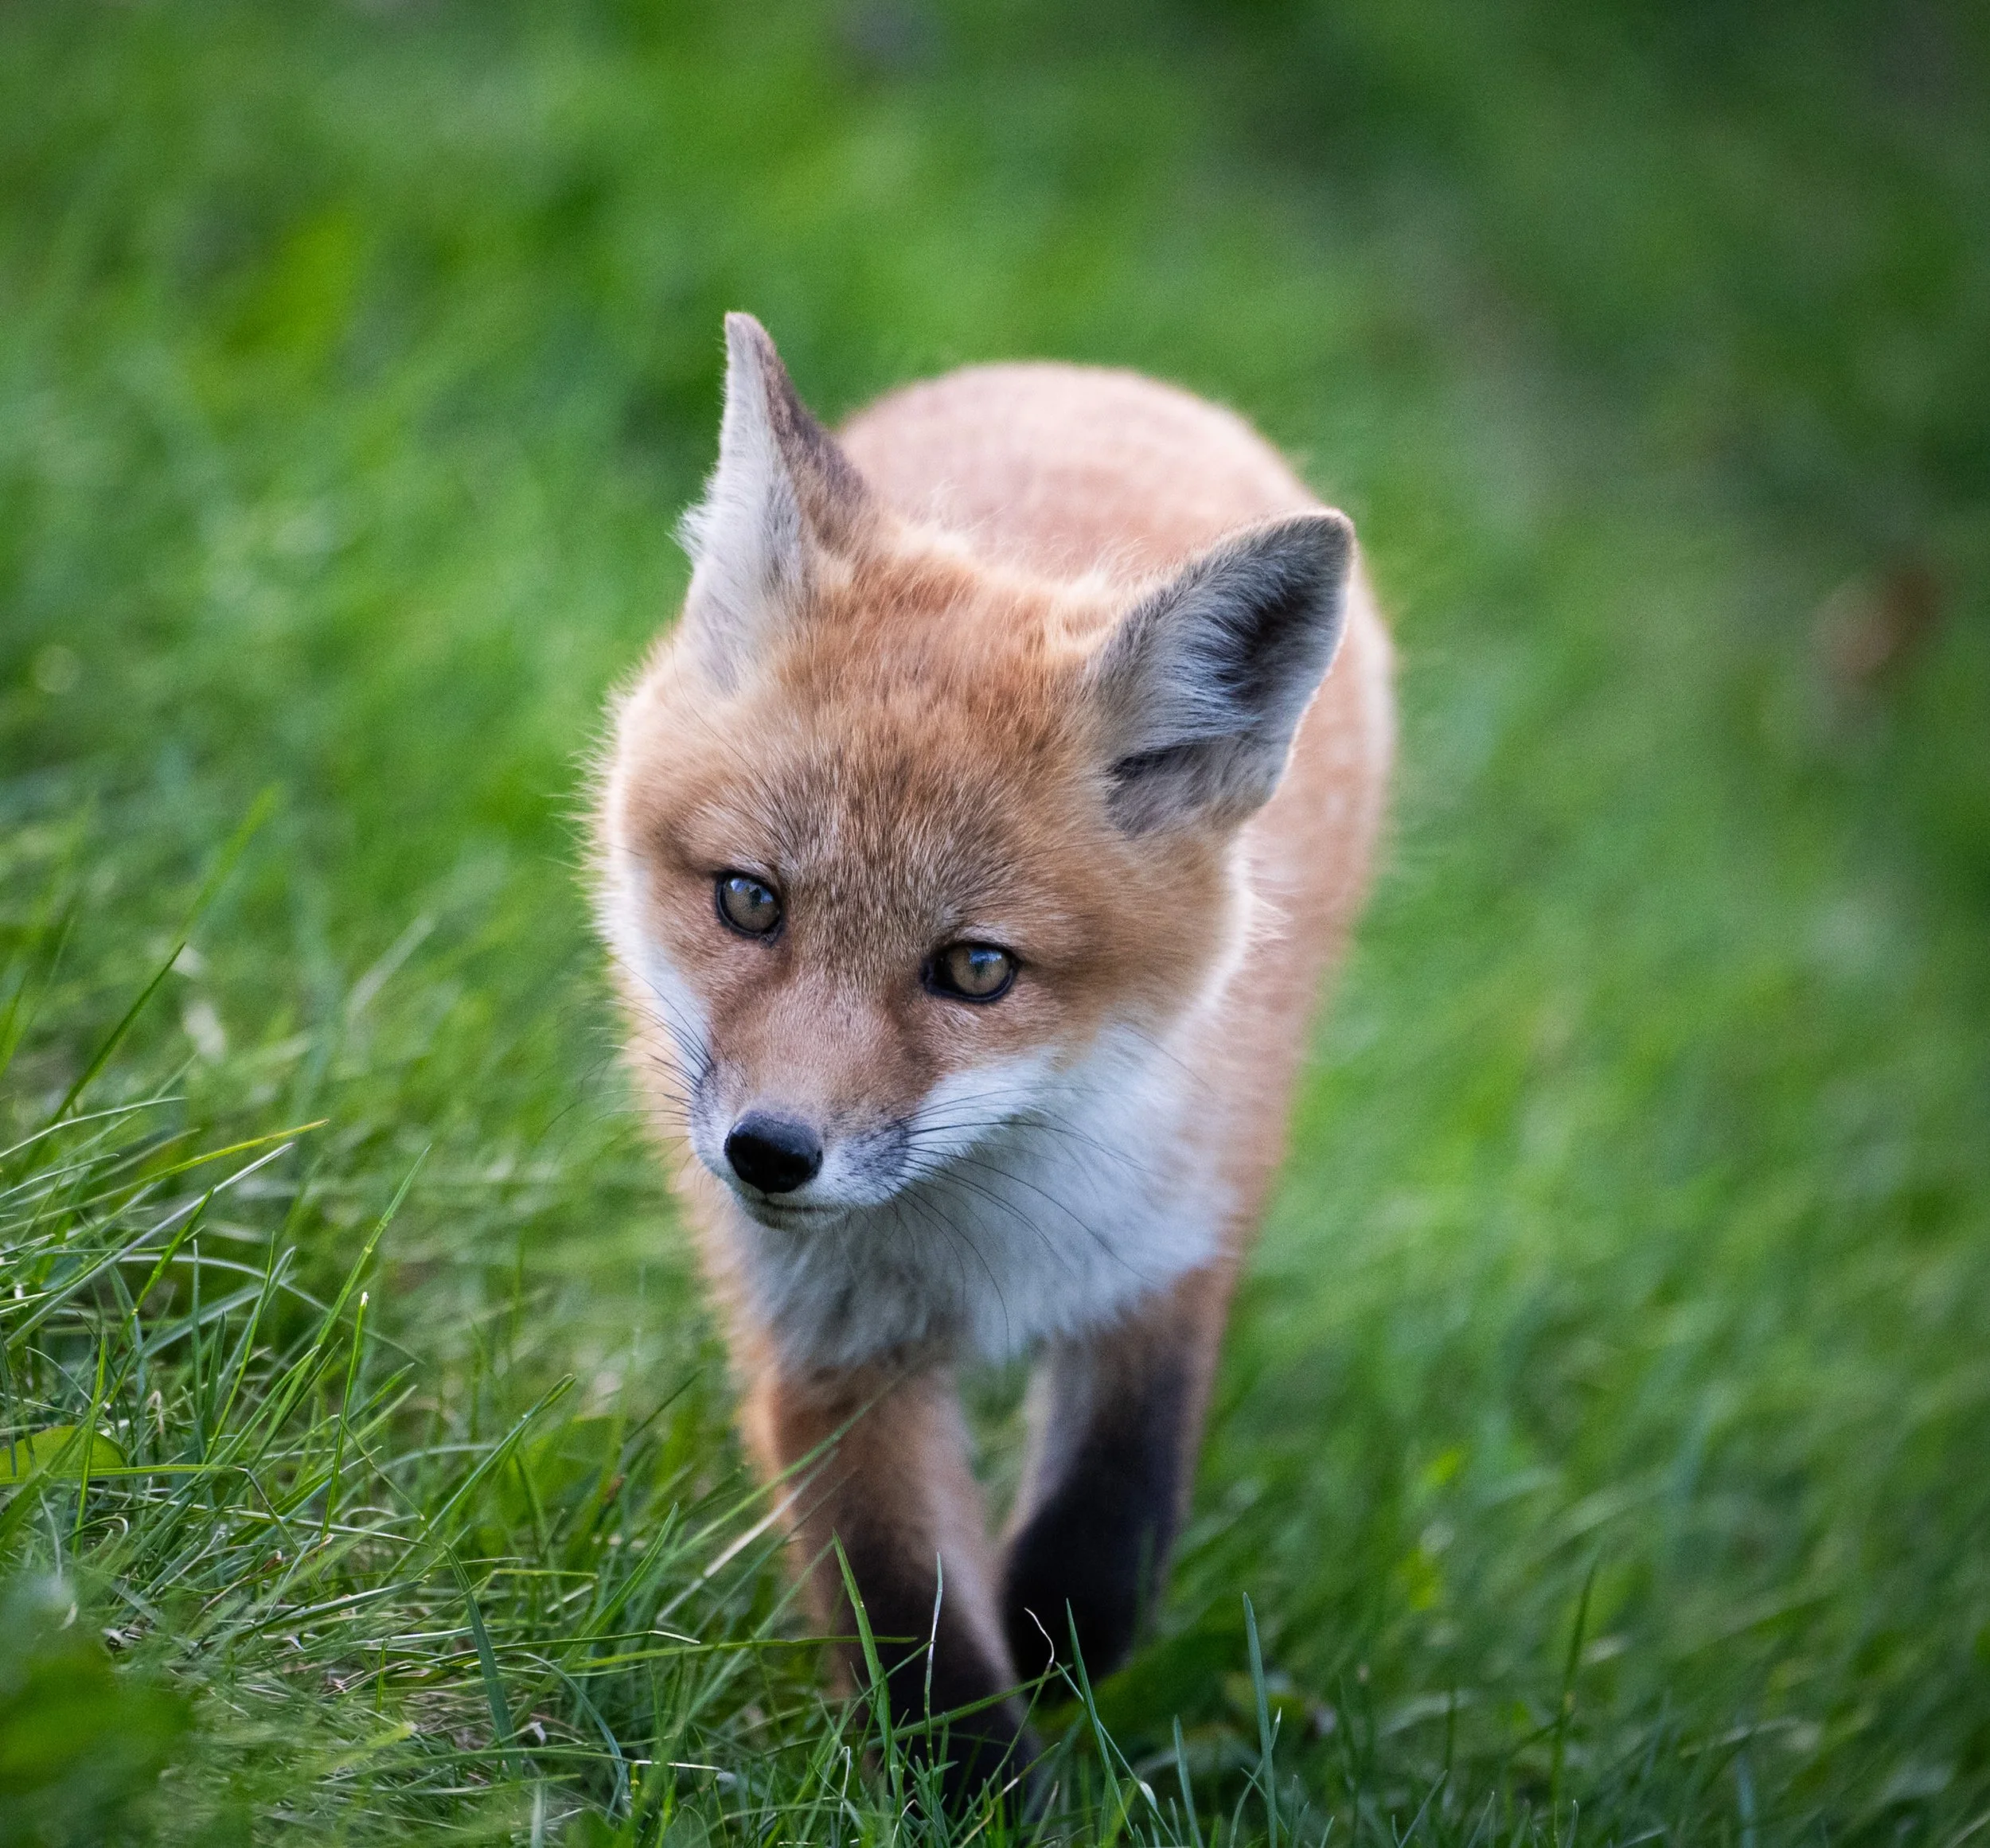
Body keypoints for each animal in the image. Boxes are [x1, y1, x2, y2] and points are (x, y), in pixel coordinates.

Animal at [595, 314, 1393, 1802]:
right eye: (749, 900)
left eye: (976, 969)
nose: (769, 1153)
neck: (975, 1234)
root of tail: (1098, 377)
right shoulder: (830, 1348)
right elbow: (910, 1622)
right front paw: (988, 1792)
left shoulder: (1176, 1244)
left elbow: (1104, 1536)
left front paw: (1055, 1652)